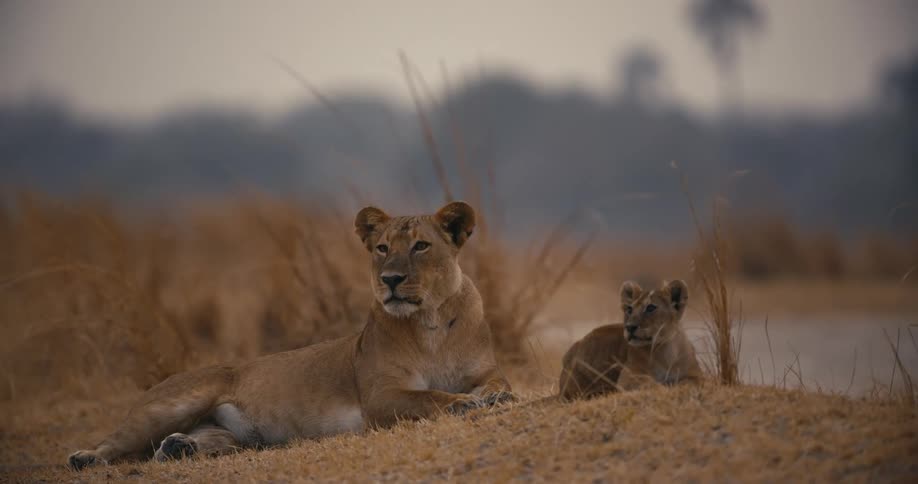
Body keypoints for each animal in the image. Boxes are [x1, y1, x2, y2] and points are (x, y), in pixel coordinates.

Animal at [68, 201, 513, 470]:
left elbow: (500, 383)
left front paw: (494, 398)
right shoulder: (380, 397)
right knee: (117, 441)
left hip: (229, 434)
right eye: (383, 248)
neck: (430, 322)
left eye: (420, 246)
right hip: (176, 402)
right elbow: (430, 397)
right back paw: (84, 457)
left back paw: (180, 448)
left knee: (205, 440)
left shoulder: (483, 370)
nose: (390, 280)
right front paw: (465, 404)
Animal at [558, 280, 701, 400]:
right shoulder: (628, 377)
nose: (630, 327)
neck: (663, 350)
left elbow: (690, 382)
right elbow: (648, 382)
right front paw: (665, 389)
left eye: (651, 308)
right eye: (629, 309)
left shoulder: (696, 374)